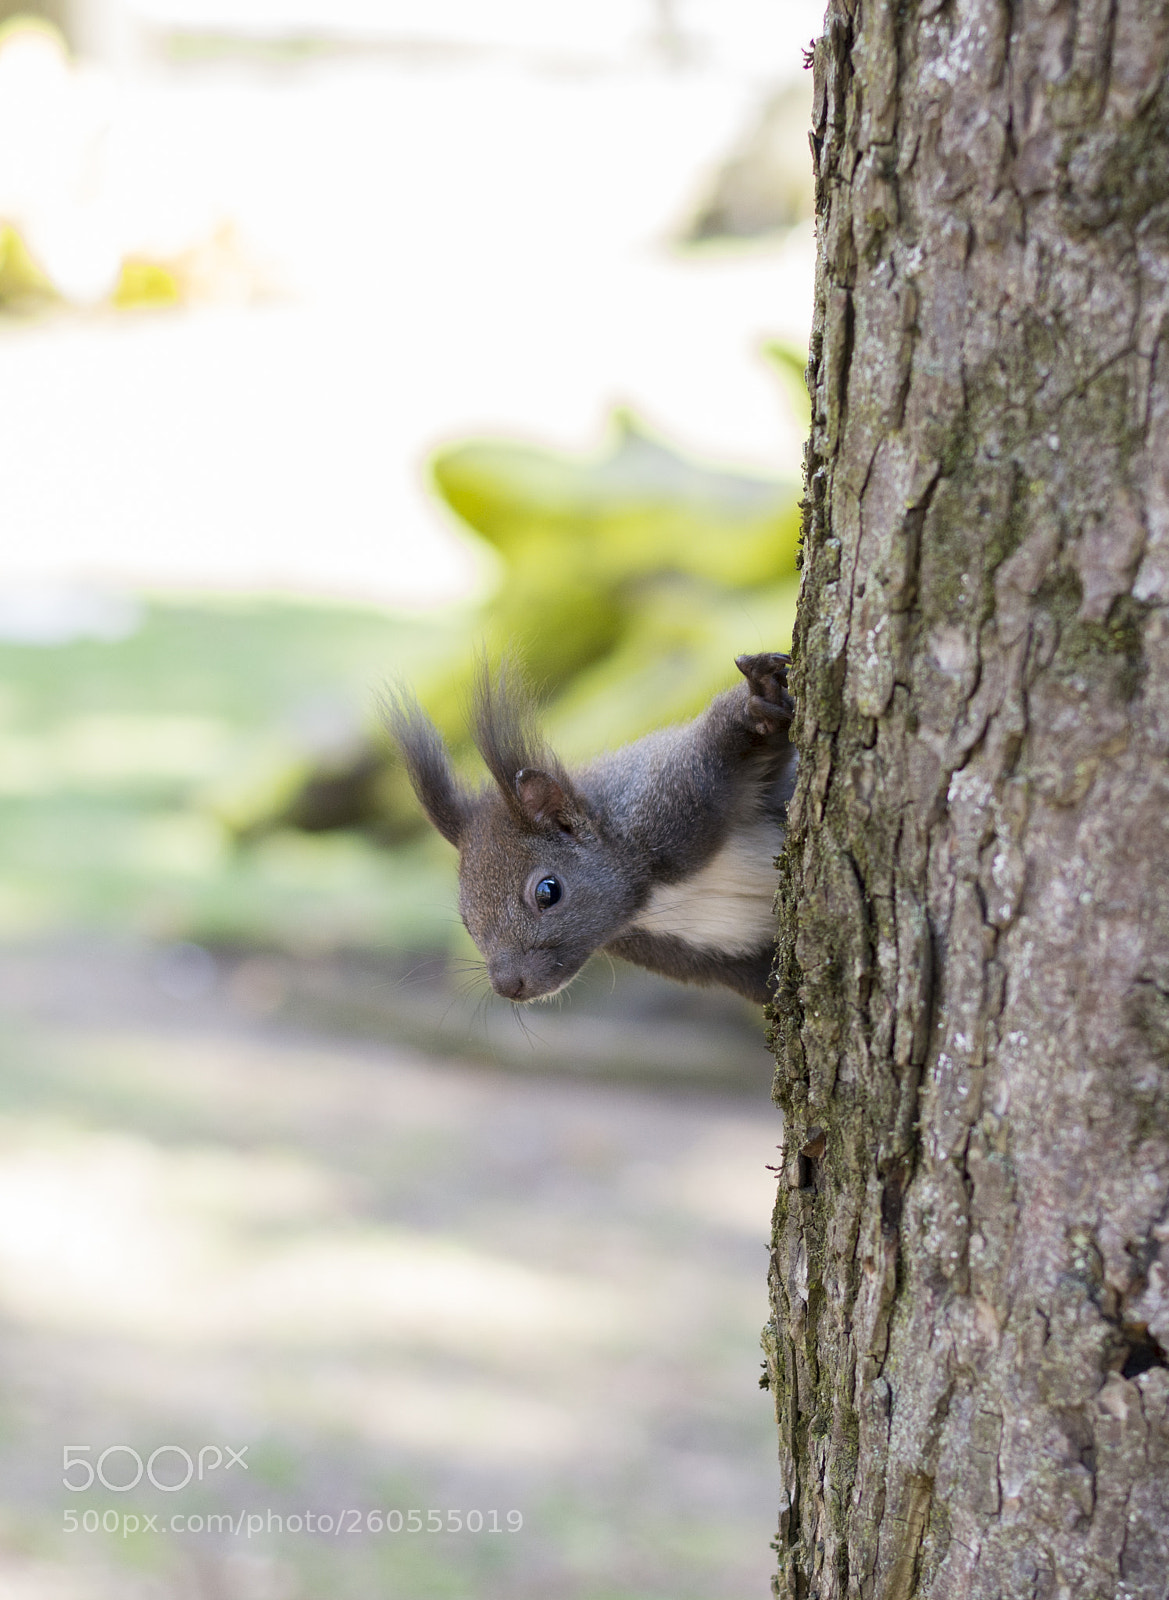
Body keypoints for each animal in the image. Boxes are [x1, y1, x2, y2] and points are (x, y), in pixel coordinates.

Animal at [387, 652, 796, 1006]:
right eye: (467, 921)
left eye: (548, 892)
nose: (508, 986)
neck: (647, 899)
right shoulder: (704, 958)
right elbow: (763, 983)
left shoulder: (673, 798)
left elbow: (728, 744)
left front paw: (758, 702)